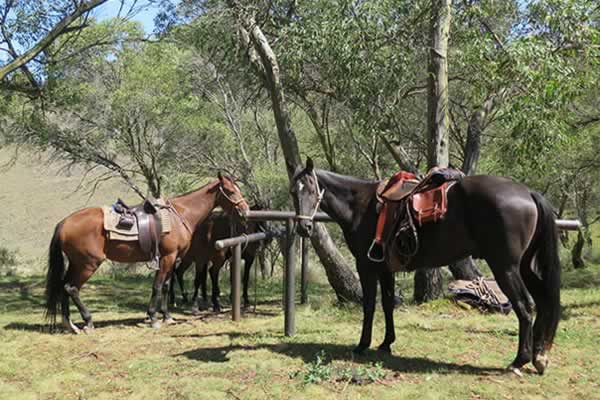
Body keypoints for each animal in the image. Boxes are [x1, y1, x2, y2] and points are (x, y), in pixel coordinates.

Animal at [45, 175, 248, 332]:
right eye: (230, 191)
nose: (245, 210)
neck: (179, 216)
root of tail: (64, 223)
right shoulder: (168, 257)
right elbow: (157, 286)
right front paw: (153, 318)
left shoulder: (172, 258)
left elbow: (165, 286)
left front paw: (167, 316)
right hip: (88, 264)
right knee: (72, 288)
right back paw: (87, 321)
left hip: (76, 263)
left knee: (64, 286)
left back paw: (70, 324)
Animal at [292, 158, 564, 376]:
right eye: (294, 192)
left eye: (312, 189)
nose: (304, 228)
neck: (360, 204)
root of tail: (527, 192)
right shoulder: (385, 269)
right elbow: (388, 304)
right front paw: (386, 343)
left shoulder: (366, 267)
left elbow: (369, 306)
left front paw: (362, 345)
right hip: (525, 267)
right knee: (543, 303)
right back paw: (539, 357)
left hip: (505, 267)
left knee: (525, 306)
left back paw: (519, 361)